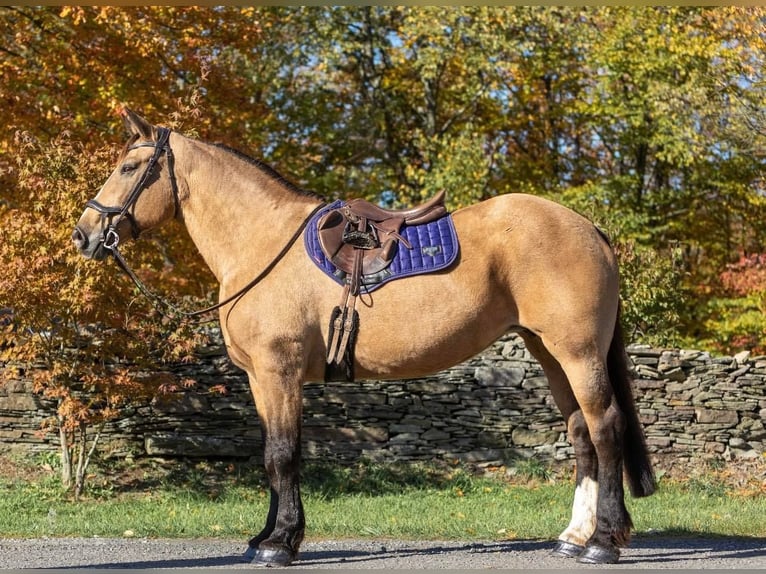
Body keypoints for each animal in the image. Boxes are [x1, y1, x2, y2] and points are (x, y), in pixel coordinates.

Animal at [72, 110, 656, 568]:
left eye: (129, 168)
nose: (84, 234)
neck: (261, 240)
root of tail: (589, 228)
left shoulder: (279, 370)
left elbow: (282, 454)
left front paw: (281, 543)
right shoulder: (262, 378)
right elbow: (272, 453)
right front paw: (266, 536)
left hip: (577, 352)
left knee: (605, 427)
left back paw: (604, 541)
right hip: (547, 351)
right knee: (580, 432)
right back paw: (574, 536)